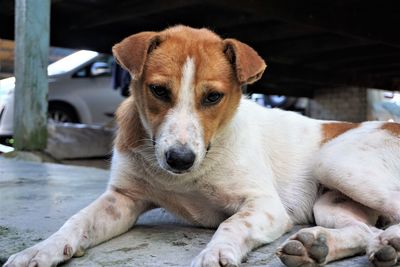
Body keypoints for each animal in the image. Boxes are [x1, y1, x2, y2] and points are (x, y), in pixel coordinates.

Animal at [4, 25, 400, 267]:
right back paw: (322, 246)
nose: (179, 159)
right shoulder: (122, 199)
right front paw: (42, 249)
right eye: (159, 90)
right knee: (366, 231)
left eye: (213, 97)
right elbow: (75, 221)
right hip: (330, 202)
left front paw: (217, 253)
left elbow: (232, 225)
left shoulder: (265, 205)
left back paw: (384, 244)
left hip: (336, 162)